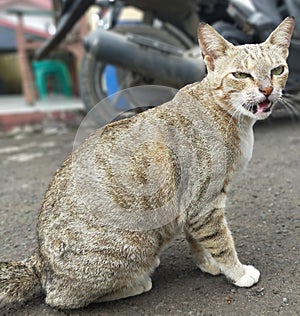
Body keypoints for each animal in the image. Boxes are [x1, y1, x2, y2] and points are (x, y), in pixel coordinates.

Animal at [0, 16, 296, 308]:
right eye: (241, 75)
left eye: (277, 70)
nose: (267, 90)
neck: (226, 113)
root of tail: (40, 262)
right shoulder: (204, 203)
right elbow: (221, 242)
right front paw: (237, 272)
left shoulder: (193, 208)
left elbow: (197, 239)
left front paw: (208, 264)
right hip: (133, 247)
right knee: (61, 298)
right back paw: (136, 284)